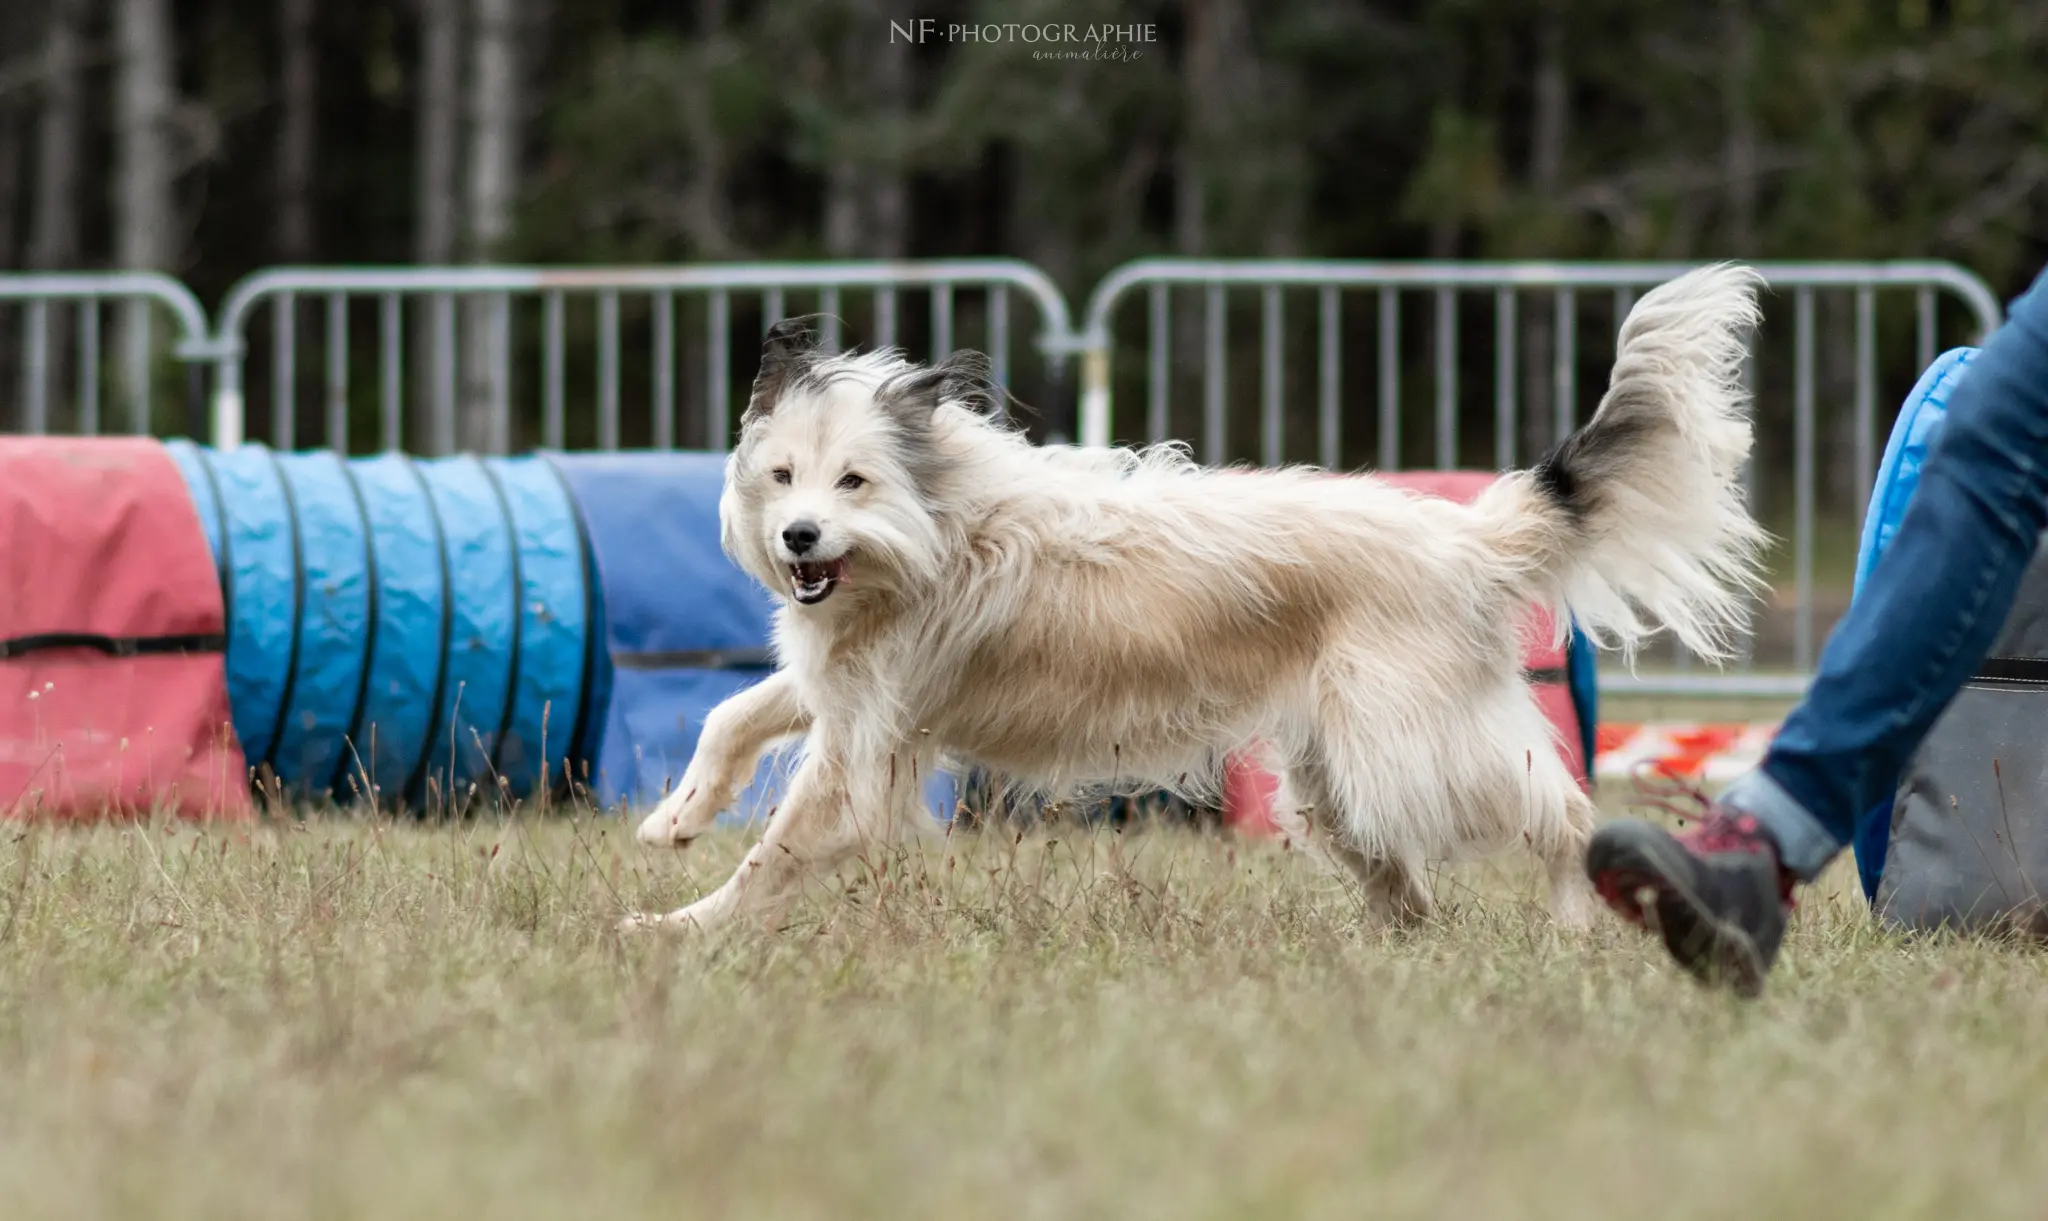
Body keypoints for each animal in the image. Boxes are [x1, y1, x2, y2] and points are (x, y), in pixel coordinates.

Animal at [618, 264, 1761, 934]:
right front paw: (674, 819)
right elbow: (734, 711)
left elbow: (775, 852)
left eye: (852, 481)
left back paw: (1576, 920)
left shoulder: (864, 751)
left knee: (1562, 811)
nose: (799, 538)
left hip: (1409, 749)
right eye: (781, 476)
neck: (937, 524)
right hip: (1339, 775)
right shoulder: (844, 684)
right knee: (1405, 878)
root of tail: (1465, 536)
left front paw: (677, 933)